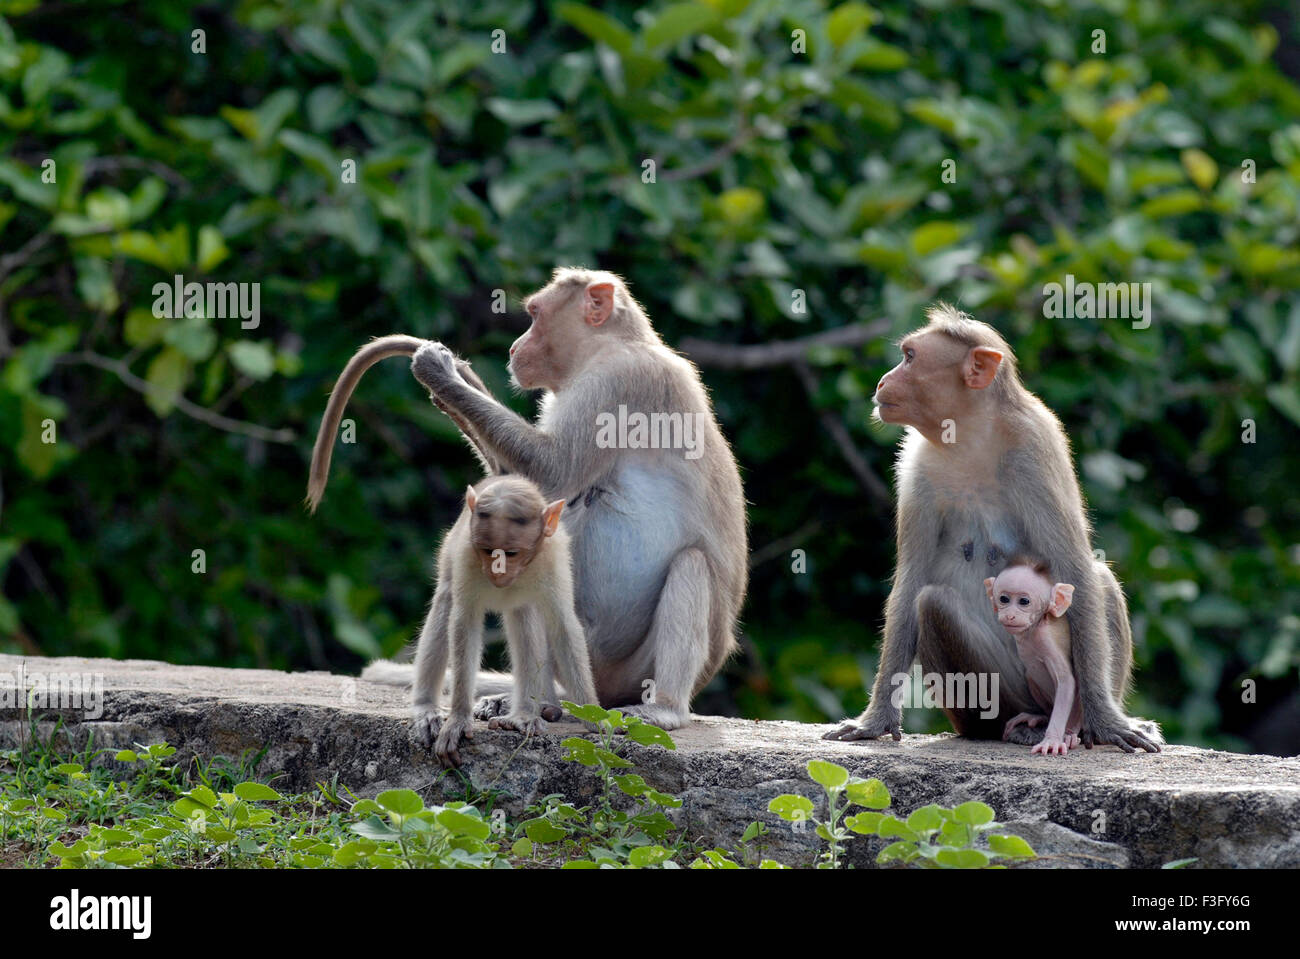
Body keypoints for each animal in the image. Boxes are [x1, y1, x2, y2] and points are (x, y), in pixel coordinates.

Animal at [308, 265, 748, 727]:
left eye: (535, 314)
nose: (515, 347)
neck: (609, 346)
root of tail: (601, 694)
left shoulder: (620, 380)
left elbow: (552, 469)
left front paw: (440, 372)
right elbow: (527, 493)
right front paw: (452, 381)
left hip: (635, 669)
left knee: (691, 565)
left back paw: (662, 708)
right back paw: (540, 703)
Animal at [413, 475, 600, 764]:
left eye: (511, 553)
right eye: (488, 550)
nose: (497, 571)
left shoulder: (553, 558)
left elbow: (563, 627)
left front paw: (596, 717)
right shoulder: (467, 553)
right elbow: (464, 623)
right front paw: (458, 719)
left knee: (525, 617)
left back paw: (524, 714)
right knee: (445, 601)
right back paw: (426, 707)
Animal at [987, 561, 1081, 753]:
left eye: (1024, 601)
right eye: (1004, 599)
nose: (1010, 615)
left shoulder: (1046, 638)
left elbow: (1066, 681)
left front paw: (1052, 740)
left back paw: (1070, 733)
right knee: (1030, 675)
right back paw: (1040, 717)